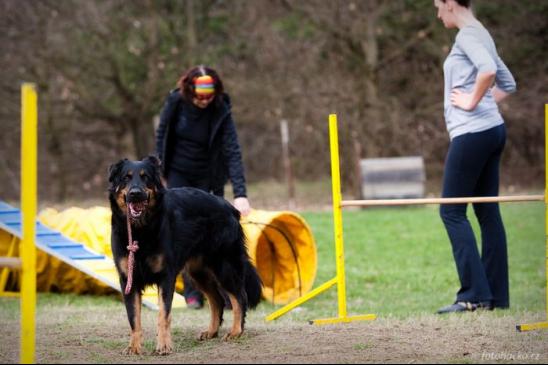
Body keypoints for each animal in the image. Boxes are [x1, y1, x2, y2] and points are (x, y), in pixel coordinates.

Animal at [108, 155, 262, 354]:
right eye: (125, 178)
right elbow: (133, 318)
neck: (141, 230)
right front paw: (134, 347)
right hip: (199, 272)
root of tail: (230, 208)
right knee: (218, 300)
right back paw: (212, 331)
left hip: (224, 267)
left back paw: (236, 332)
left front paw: (164, 345)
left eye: (145, 177)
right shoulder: (128, 280)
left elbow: (163, 315)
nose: (135, 193)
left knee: (239, 297)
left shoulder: (166, 278)